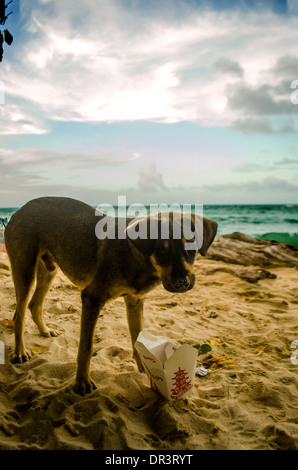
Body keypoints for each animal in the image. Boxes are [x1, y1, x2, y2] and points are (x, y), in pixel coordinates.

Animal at [4, 196, 217, 394]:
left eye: (191, 249)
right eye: (161, 252)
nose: (183, 283)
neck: (138, 256)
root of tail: (19, 210)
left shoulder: (135, 301)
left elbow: (137, 338)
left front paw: (146, 369)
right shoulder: (91, 298)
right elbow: (86, 347)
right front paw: (82, 381)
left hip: (49, 269)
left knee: (34, 305)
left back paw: (44, 330)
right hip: (25, 269)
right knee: (19, 313)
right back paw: (20, 352)